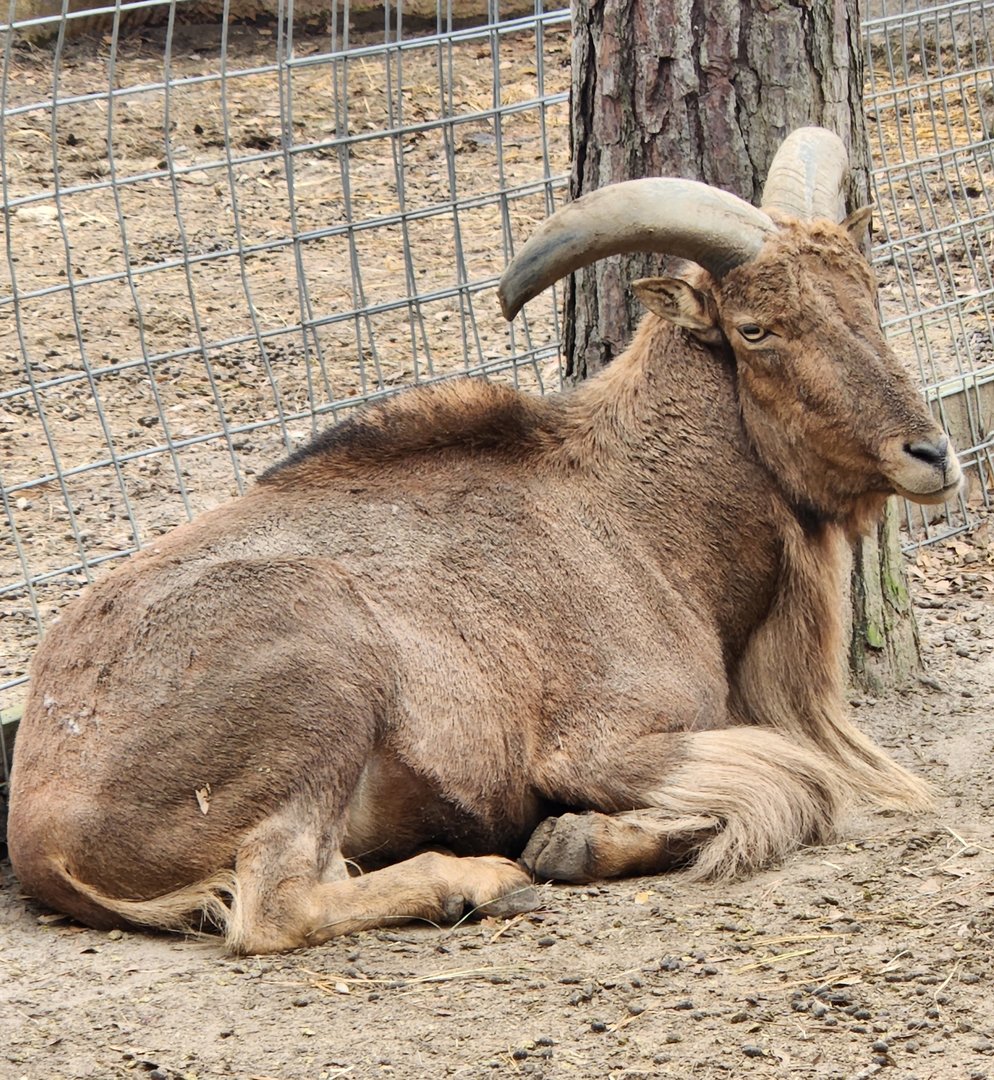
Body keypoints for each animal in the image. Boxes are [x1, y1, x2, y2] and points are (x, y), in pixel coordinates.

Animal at [7, 128, 961, 954]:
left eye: (868, 298)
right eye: (757, 329)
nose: (931, 454)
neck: (641, 518)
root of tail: (38, 828)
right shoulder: (606, 740)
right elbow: (803, 787)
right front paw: (567, 845)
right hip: (321, 689)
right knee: (276, 903)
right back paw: (476, 882)